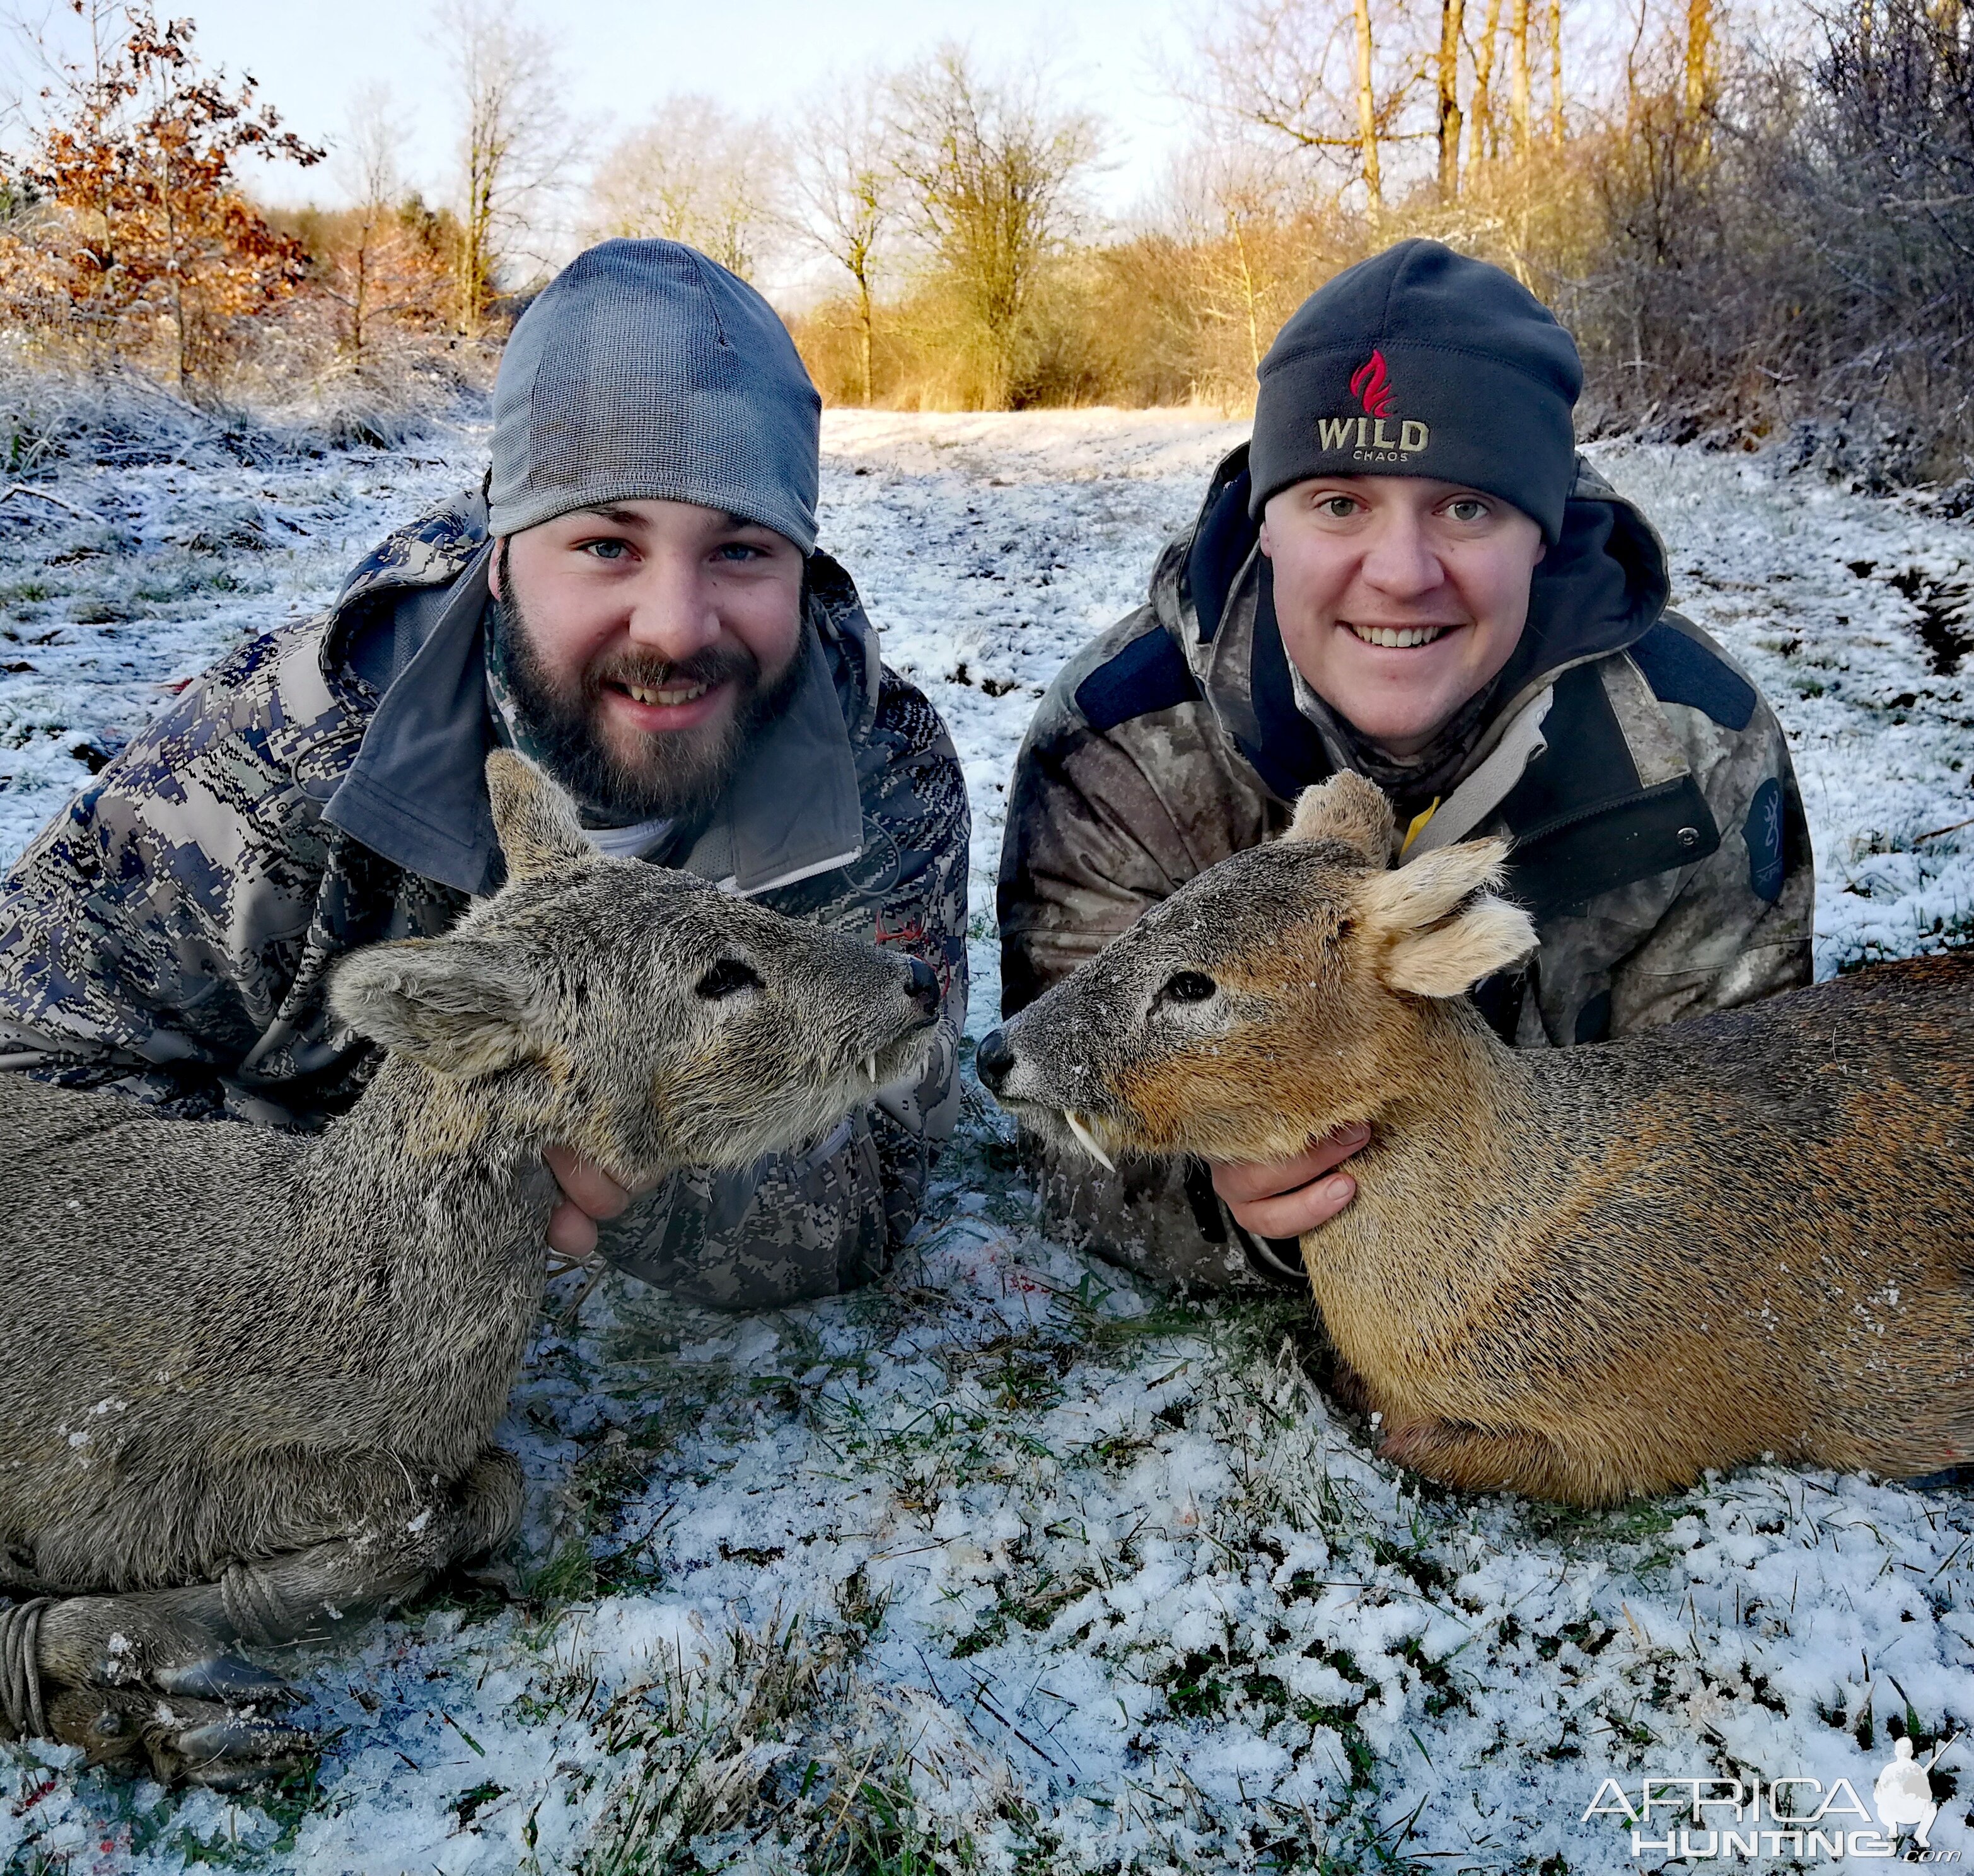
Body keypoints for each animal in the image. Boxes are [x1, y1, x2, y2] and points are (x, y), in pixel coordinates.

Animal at [0, 754, 939, 1793]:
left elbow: (482, 1495)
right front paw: (160, 1666)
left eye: (733, 898)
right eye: (719, 976)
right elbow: (429, 1512)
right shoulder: (90, 1477)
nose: (919, 977)